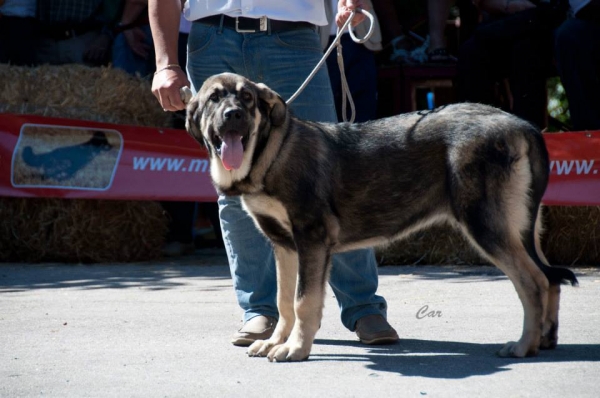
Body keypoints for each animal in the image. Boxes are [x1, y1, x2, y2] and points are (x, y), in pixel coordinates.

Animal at [186, 73, 576, 362]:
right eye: (214, 99)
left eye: (247, 99)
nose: (233, 115)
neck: (270, 153)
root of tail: (523, 126)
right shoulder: (284, 246)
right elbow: (285, 302)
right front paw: (276, 341)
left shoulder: (311, 238)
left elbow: (303, 300)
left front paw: (295, 349)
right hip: (521, 225)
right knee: (549, 277)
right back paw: (546, 339)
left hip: (487, 224)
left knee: (532, 282)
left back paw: (523, 346)